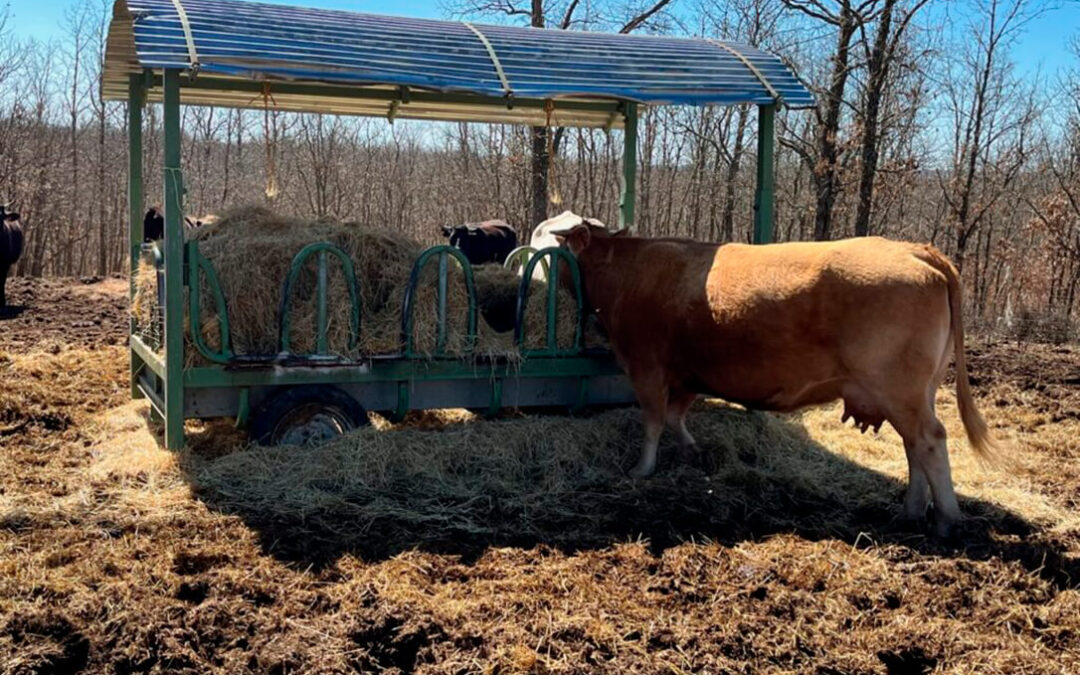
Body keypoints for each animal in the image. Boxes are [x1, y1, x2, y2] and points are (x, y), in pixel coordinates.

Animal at [561, 226, 997, 537]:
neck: (629, 270)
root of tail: (912, 249)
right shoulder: (689, 374)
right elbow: (675, 417)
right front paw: (692, 450)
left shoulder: (647, 366)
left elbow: (653, 421)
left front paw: (642, 469)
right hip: (917, 391)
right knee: (913, 446)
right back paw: (911, 511)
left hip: (899, 389)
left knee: (929, 440)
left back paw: (946, 519)